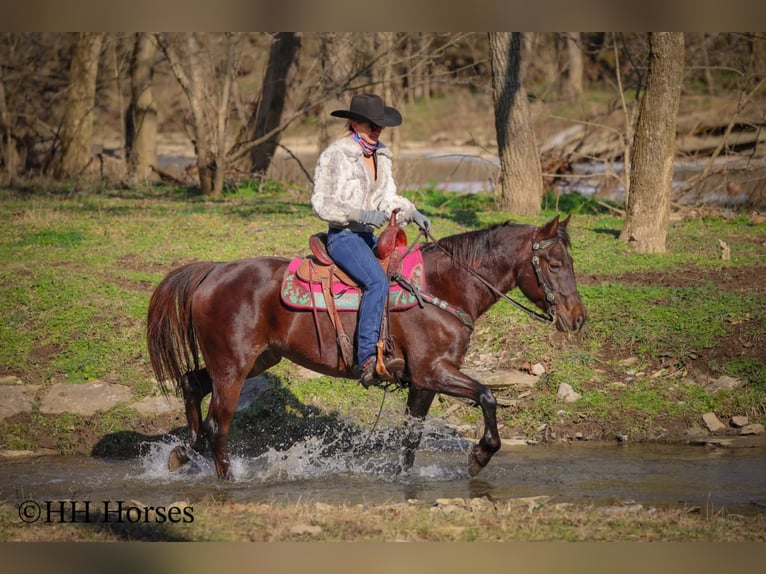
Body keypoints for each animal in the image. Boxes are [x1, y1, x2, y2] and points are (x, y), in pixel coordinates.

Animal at [146, 214, 586, 480]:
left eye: (570, 263)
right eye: (555, 265)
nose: (577, 318)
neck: (441, 289)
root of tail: (212, 271)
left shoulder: (422, 382)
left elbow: (411, 437)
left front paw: (404, 479)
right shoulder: (434, 371)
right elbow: (488, 395)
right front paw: (480, 456)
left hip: (255, 360)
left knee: (192, 385)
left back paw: (182, 454)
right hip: (233, 367)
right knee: (217, 424)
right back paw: (227, 479)